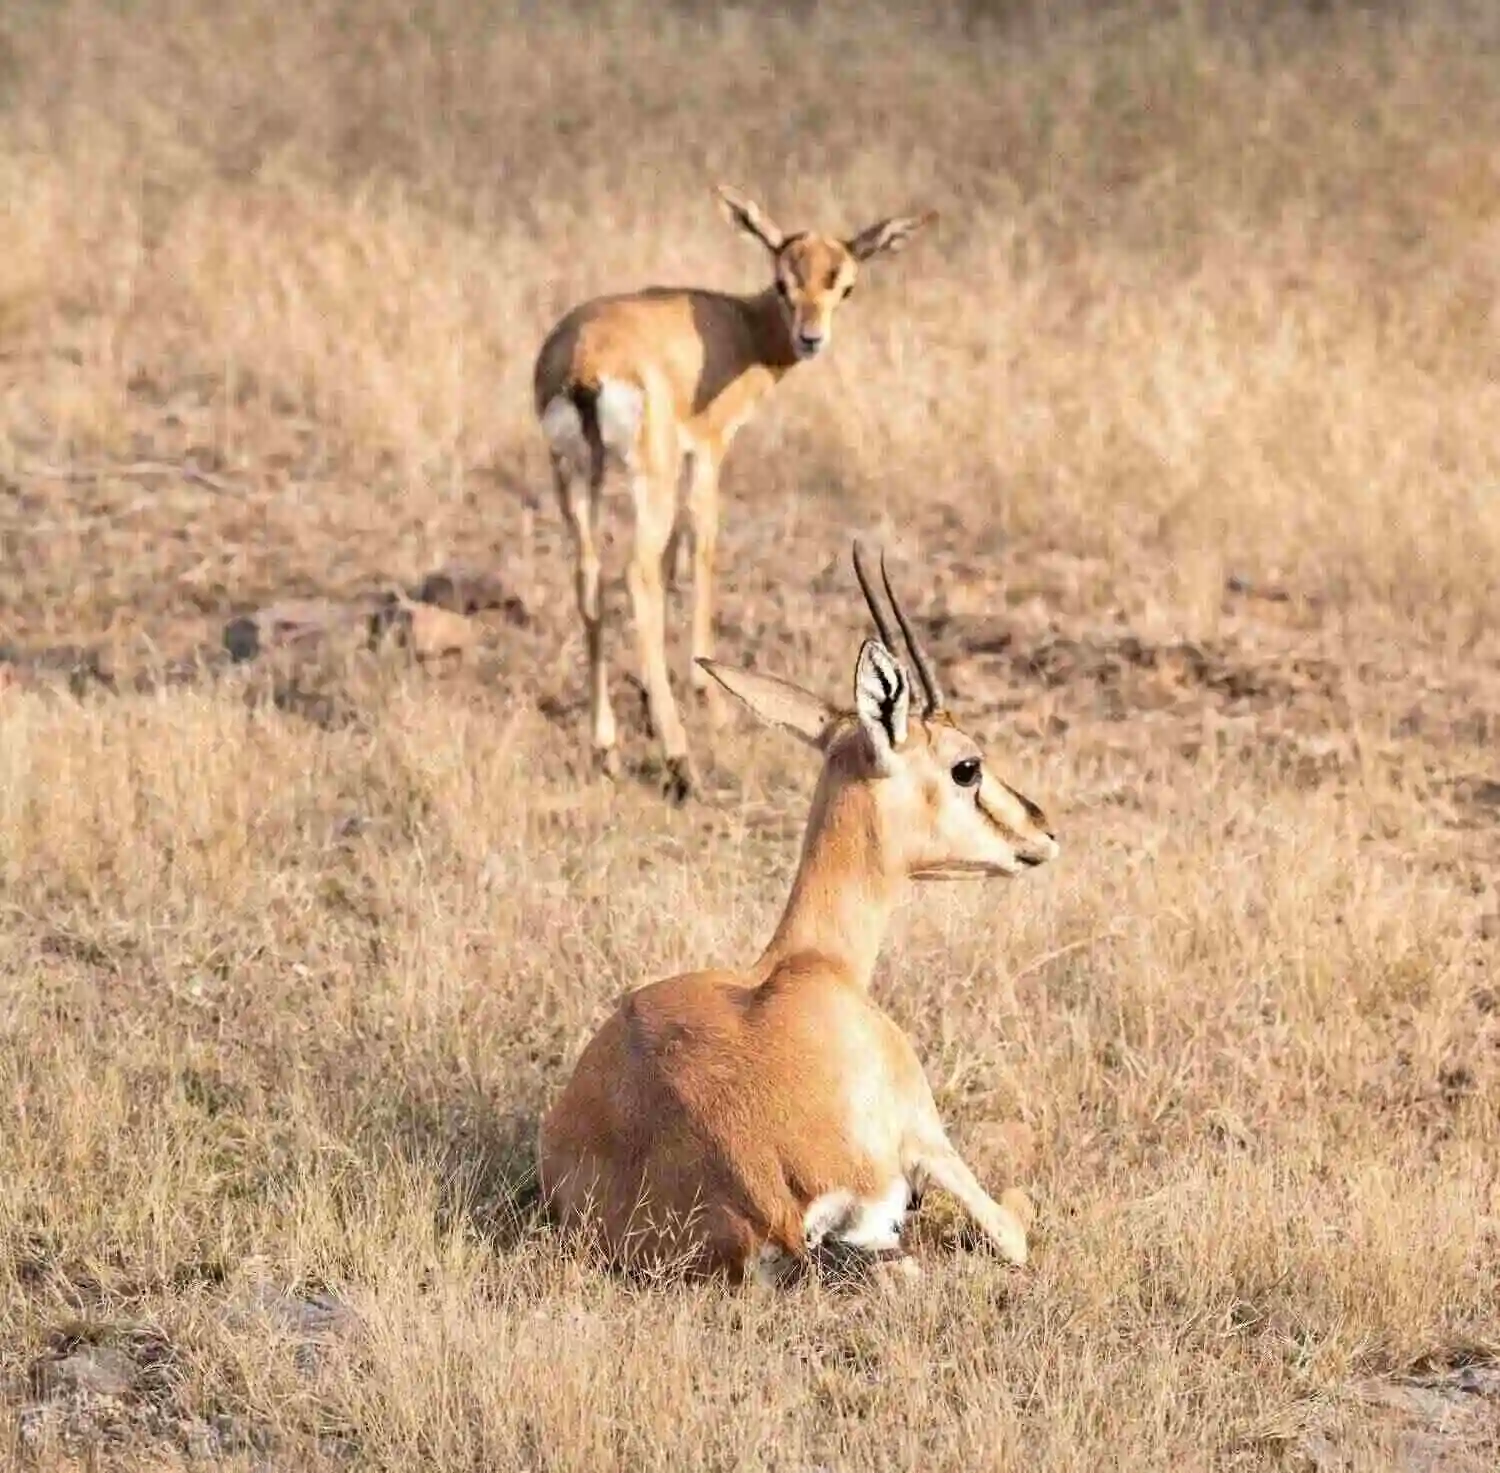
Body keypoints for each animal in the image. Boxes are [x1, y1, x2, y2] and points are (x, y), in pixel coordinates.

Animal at [533, 187, 938, 803]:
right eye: (782, 281)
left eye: (843, 284)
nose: (811, 339)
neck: (738, 326)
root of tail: (582, 363)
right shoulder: (707, 451)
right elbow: (700, 552)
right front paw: (709, 701)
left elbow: (674, 561)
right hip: (644, 476)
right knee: (636, 577)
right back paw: (680, 761)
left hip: (577, 477)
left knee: (590, 579)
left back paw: (606, 749)